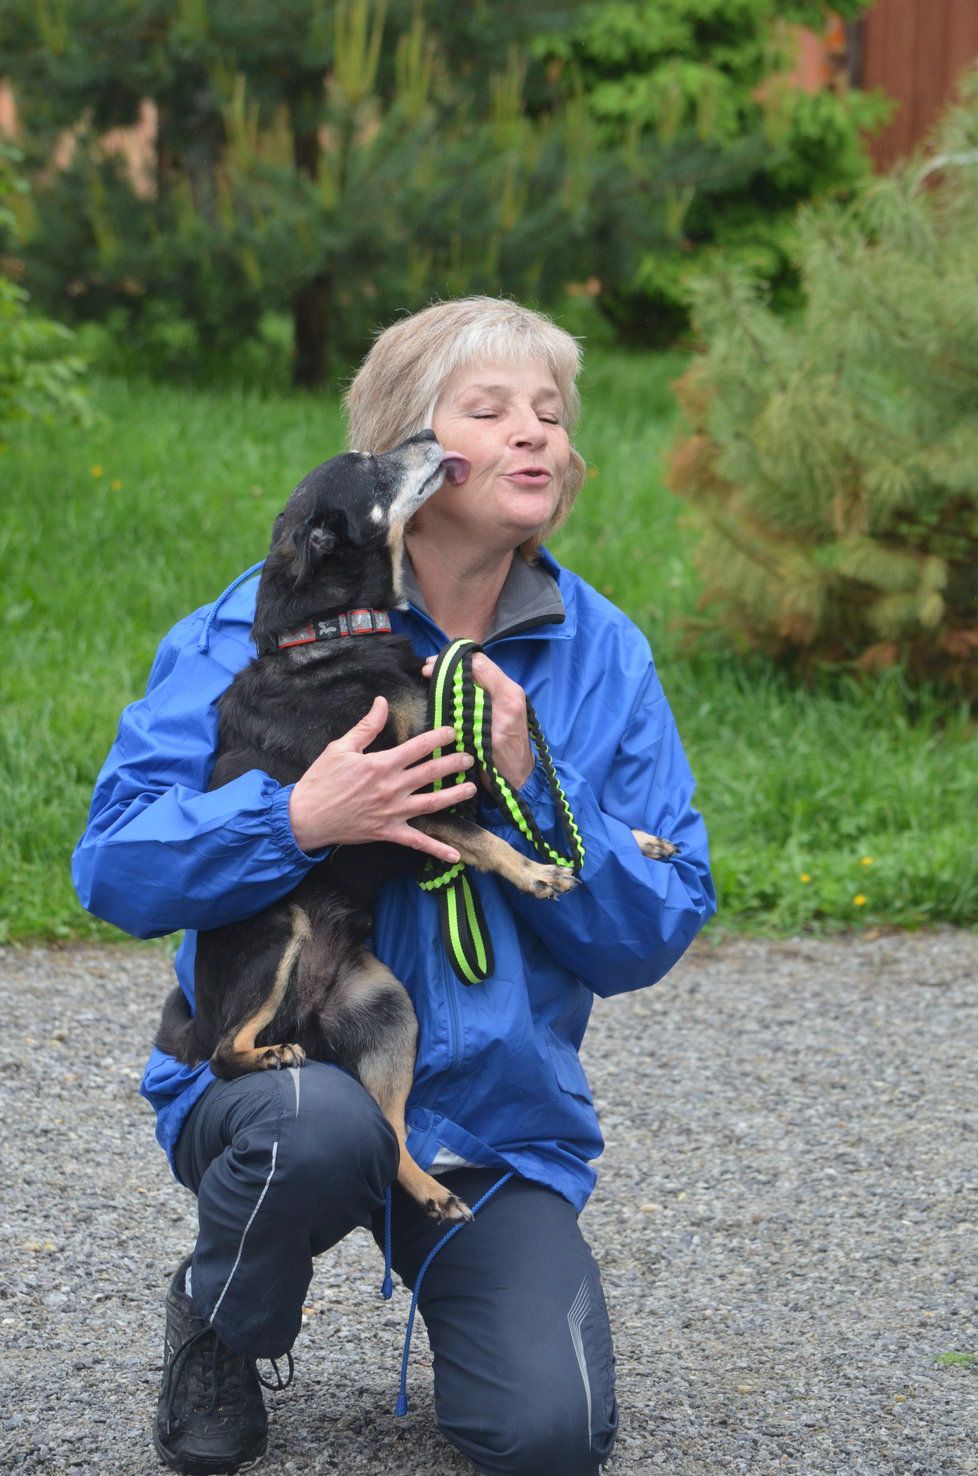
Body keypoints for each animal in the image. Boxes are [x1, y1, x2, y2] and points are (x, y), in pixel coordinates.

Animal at [155, 430, 584, 1222]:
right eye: (370, 467)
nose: (428, 435)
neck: (335, 634)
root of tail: (308, 1020)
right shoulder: (405, 798)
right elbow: (486, 841)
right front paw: (538, 873)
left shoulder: (457, 770)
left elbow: (524, 804)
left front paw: (641, 843)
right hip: (280, 937)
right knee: (228, 1053)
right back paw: (268, 1055)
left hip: (390, 1015)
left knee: (391, 1133)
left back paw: (433, 1192)